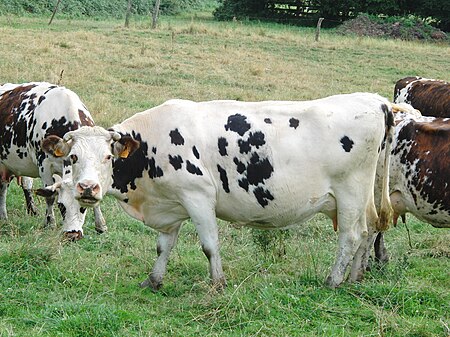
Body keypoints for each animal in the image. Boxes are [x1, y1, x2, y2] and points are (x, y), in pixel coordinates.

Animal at [0, 82, 106, 238]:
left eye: (83, 207)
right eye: (61, 205)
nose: (73, 234)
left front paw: (101, 225)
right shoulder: (44, 165)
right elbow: (49, 196)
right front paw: (49, 223)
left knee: (12, 185)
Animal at [40, 92, 396, 288]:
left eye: (108, 157)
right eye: (73, 157)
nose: (87, 187)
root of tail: (375, 101)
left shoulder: (197, 196)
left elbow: (209, 246)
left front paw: (218, 283)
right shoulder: (171, 204)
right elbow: (163, 247)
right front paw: (153, 280)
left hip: (350, 192)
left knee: (351, 236)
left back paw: (333, 280)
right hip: (364, 195)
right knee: (369, 229)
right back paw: (355, 277)